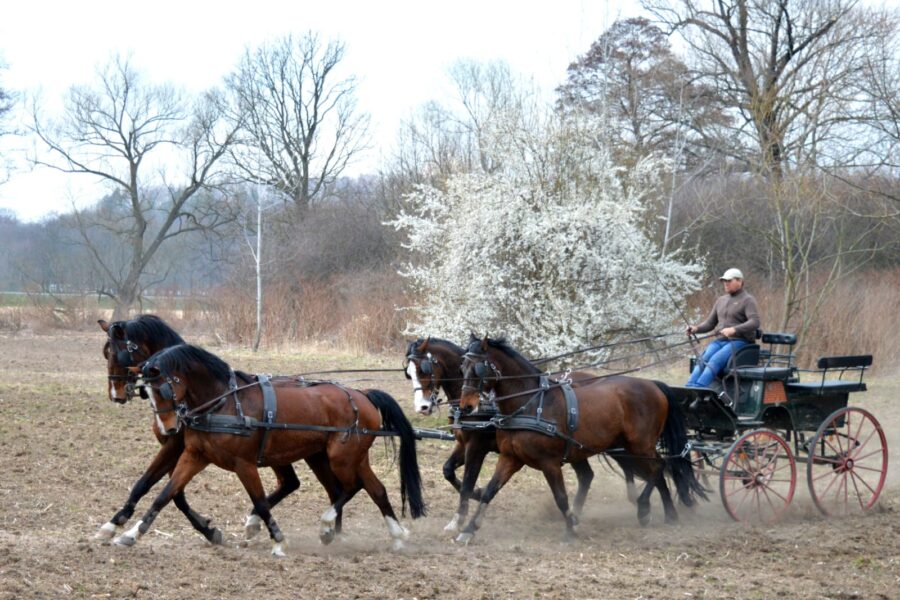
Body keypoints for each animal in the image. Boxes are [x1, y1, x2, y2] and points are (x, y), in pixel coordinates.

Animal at [96, 316, 344, 548]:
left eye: (119, 355)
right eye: (106, 353)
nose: (115, 394)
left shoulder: (175, 446)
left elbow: (173, 494)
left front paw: (208, 530)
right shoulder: (183, 449)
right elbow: (151, 485)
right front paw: (113, 524)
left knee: (323, 487)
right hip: (299, 454)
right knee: (299, 484)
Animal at [119, 342, 426, 552]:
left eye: (163, 389)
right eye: (146, 392)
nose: (169, 428)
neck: (223, 401)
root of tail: (363, 395)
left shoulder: (244, 464)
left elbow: (259, 500)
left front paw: (278, 541)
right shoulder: (194, 455)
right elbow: (164, 494)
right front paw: (130, 533)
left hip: (341, 457)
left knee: (351, 487)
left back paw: (327, 524)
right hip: (339, 457)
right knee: (373, 489)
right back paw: (395, 537)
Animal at [454, 336, 708, 548]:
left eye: (478, 369)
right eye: (462, 368)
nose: (466, 406)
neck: (531, 403)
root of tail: (654, 385)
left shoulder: (549, 463)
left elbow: (561, 497)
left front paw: (570, 529)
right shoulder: (511, 458)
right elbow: (489, 491)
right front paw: (469, 529)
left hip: (640, 446)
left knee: (660, 467)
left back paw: (646, 508)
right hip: (628, 447)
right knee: (659, 470)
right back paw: (669, 514)